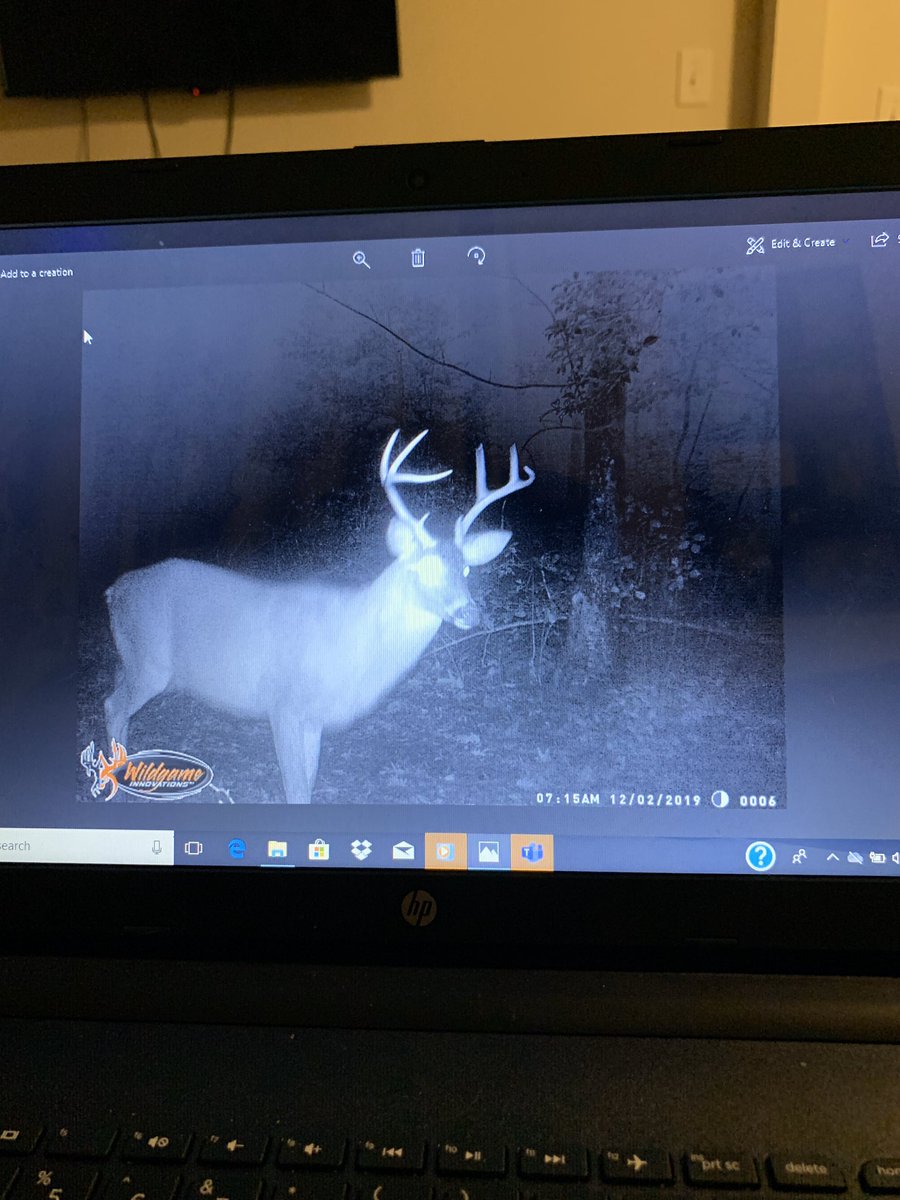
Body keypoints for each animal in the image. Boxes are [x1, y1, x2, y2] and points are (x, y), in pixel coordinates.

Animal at [103, 429, 535, 803]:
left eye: (467, 570)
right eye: (421, 569)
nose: (470, 612)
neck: (351, 645)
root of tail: (113, 592)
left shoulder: (315, 718)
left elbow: (308, 784)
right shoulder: (283, 703)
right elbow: (295, 788)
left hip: (134, 661)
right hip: (150, 663)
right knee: (112, 706)